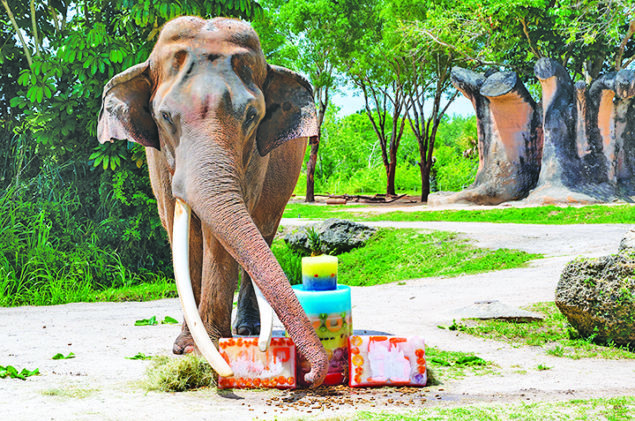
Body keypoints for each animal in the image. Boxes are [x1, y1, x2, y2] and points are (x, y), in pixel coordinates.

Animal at [99, 14, 330, 386]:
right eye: (165, 117)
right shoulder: (156, 158)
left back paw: (247, 329)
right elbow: (181, 231)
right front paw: (185, 348)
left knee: (264, 230)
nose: (310, 375)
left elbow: (217, 238)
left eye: (251, 116)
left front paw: (206, 347)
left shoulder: (254, 160)